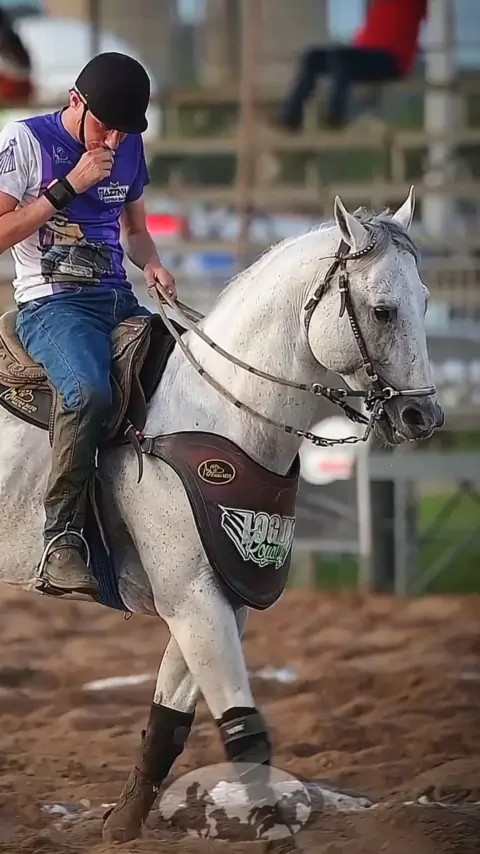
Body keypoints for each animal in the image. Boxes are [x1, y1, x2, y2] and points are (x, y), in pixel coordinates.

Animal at [0, 191, 444, 844]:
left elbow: (169, 718)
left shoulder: (222, 594)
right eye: (384, 311)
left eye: (425, 302)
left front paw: (122, 823)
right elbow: (243, 726)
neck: (218, 411)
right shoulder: (191, 598)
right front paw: (271, 828)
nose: (423, 417)